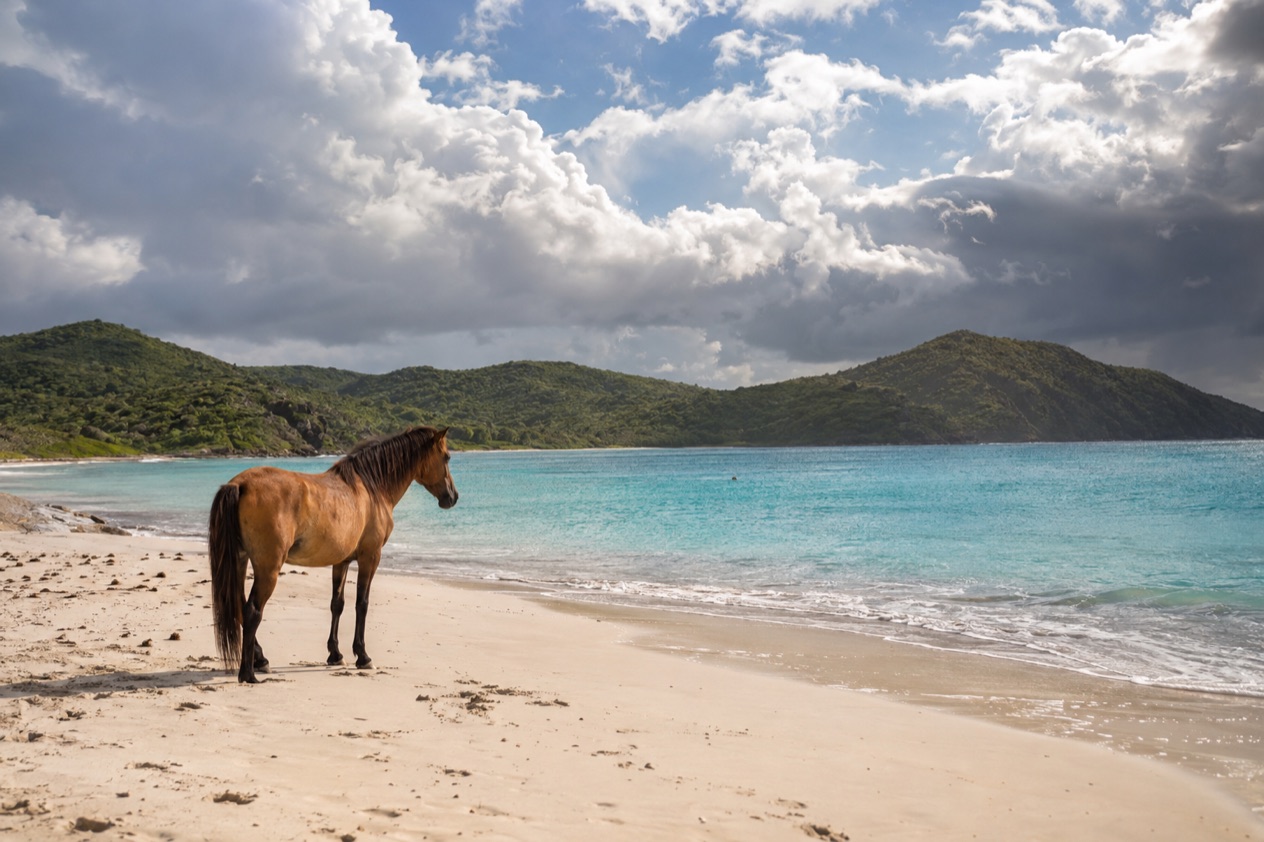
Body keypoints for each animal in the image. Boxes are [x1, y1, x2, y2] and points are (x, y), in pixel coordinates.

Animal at [208, 425, 458, 683]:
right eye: (447, 457)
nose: (452, 497)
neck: (372, 488)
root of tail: (240, 485)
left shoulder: (342, 561)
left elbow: (337, 604)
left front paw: (335, 654)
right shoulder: (371, 557)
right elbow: (362, 603)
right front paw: (363, 656)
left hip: (240, 560)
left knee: (239, 607)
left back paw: (260, 660)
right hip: (268, 569)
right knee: (252, 611)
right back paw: (248, 673)